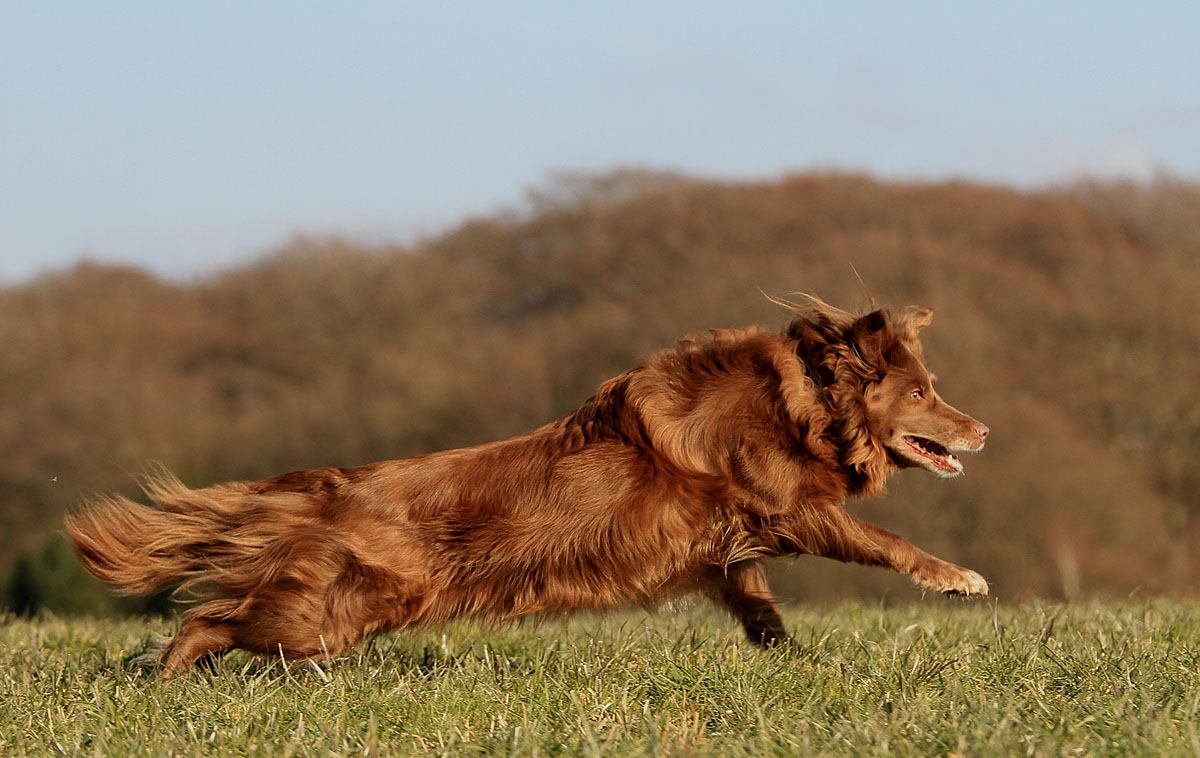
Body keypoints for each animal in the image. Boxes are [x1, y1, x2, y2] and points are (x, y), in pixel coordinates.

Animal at [65, 296, 988, 676]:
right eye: (922, 394)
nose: (981, 432)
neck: (798, 405)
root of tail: (322, 487)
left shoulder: (726, 552)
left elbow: (758, 605)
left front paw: (788, 659)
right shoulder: (793, 511)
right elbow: (882, 540)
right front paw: (957, 579)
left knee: (216, 615)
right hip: (336, 615)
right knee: (209, 619)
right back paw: (161, 676)